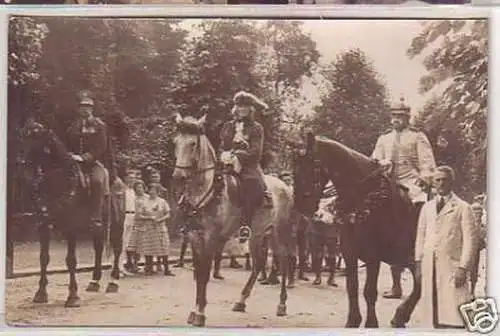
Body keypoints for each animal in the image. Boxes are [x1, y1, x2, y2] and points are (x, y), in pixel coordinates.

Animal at [19, 120, 125, 308]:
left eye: (36, 138)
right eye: (23, 136)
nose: (23, 166)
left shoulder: (71, 229)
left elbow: (71, 260)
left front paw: (73, 296)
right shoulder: (43, 225)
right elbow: (43, 258)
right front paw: (40, 293)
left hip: (116, 227)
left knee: (117, 249)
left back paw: (113, 282)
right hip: (98, 228)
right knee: (98, 249)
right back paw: (94, 282)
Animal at [173, 113, 296, 326]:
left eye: (193, 144)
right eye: (176, 142)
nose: (178, 176)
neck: (207, 192)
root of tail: (285, 186)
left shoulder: (210, 239)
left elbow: (204, 275)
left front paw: (200, 313)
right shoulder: (195, 238)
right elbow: (199, 274)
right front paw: (195, 310)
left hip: (279, 234)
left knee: (284, 261)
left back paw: (281, 305)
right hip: (257, 236)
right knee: (258, 264)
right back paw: (241, 301)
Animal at [292, 134, 422, 328]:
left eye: (312, 165)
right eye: (295, 168)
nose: (301, 205)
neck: (366, 199)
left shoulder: (373, 257)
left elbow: (369, 291)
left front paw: (371, 323)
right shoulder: (349, 253)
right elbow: (352, 287)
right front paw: (353, 320)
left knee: (420, 283)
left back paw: (401, 314)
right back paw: (401, 314)